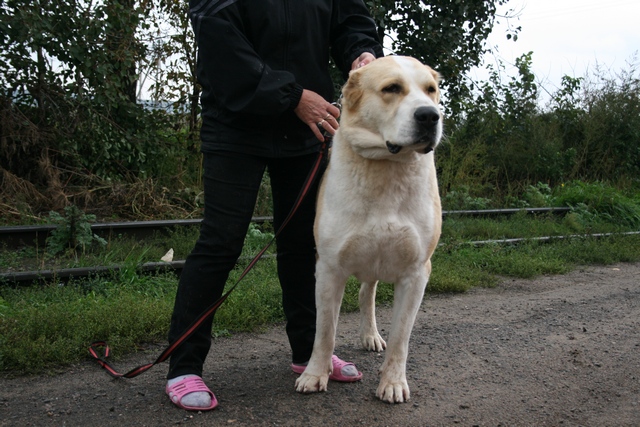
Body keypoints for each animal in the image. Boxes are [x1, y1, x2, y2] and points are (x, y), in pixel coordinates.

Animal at [296, 56, 440, 404]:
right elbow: (325, 331)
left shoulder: (416, 273)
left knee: (367, 293)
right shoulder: (328, 268)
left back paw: (371, 335)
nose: (430, 116)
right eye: (392, 88)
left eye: (431, 90)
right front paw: (315, 374)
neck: (387, 168)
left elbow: (401, 336)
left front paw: (393, 383)